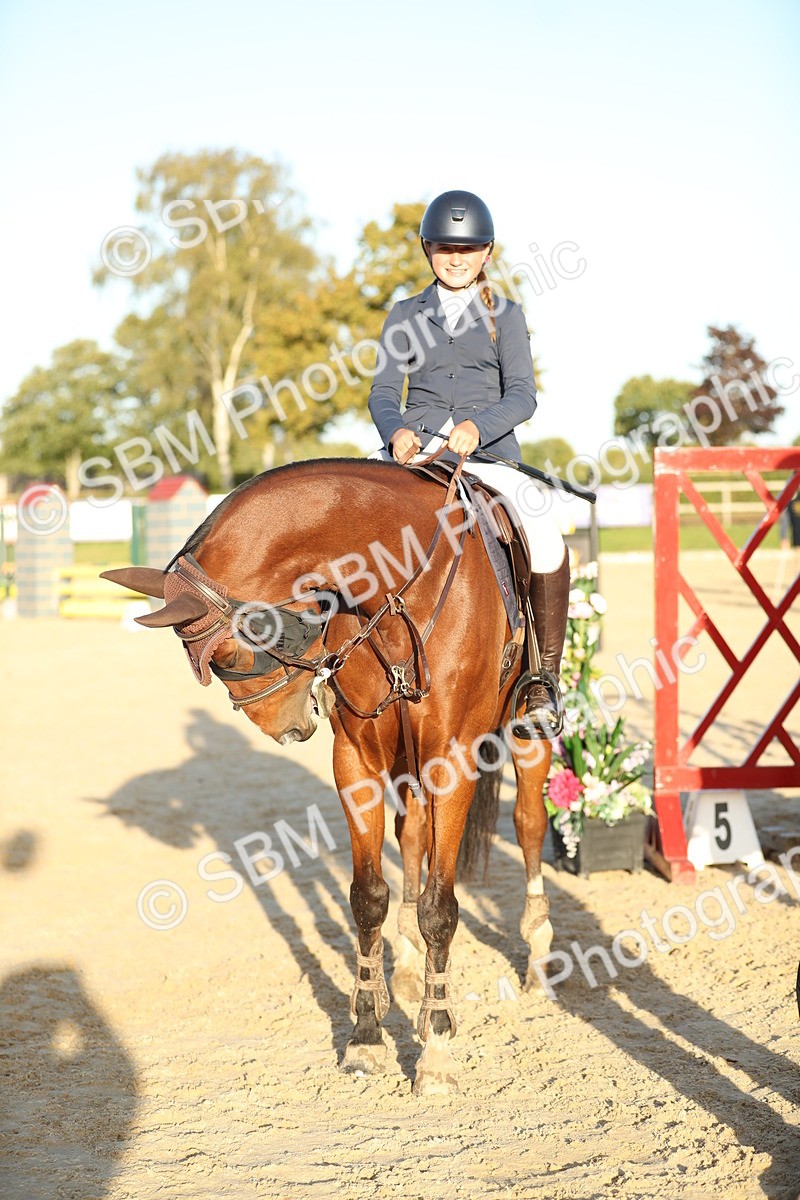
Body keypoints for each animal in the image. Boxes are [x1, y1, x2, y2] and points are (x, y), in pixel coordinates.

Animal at [103, 458, 555, 1097]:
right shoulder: (358, 762)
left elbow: (442, 907)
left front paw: (436, 1049)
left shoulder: (452, 758)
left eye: (232, 657)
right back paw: (409, 968)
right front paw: (367, 1036)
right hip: (405, 763)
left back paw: (538, 956)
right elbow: (368, 897)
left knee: (529, 821)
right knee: (411, 835)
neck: (399, 588)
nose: (287, 728)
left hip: (523, 733)